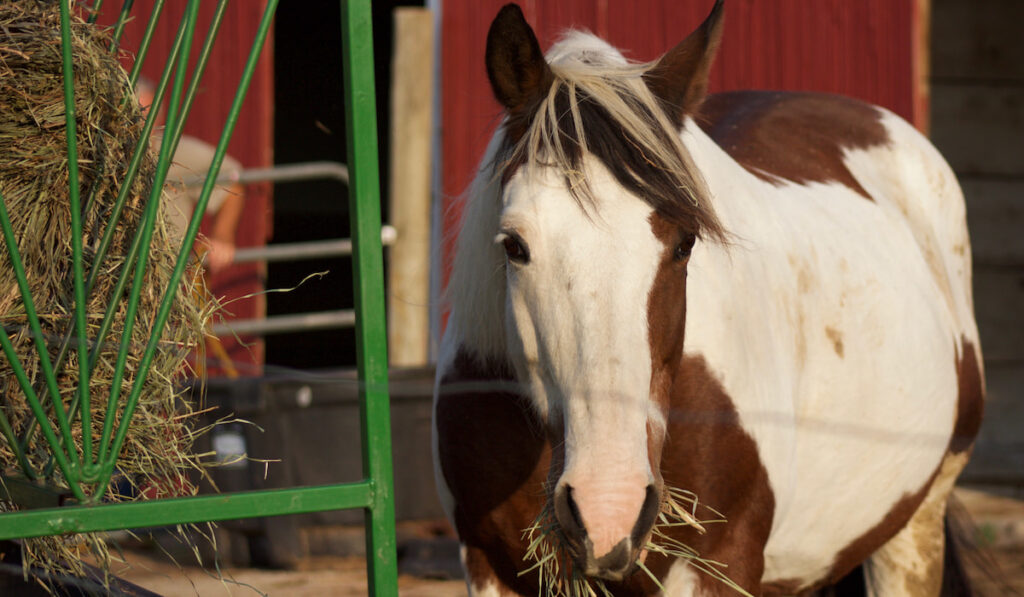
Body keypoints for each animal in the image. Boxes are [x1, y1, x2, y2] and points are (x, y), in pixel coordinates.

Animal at [432, 2, 983, 593]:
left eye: (686, 244)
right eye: (514, 246)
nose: (609, 508)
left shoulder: (718, 562)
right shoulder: (488, 563)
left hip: (914, 527)